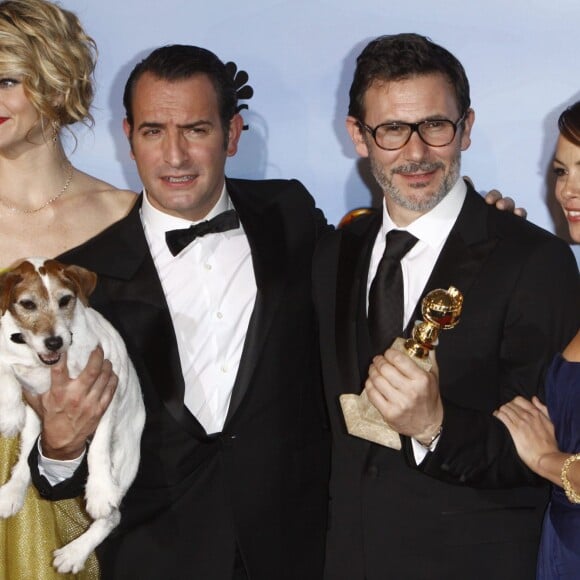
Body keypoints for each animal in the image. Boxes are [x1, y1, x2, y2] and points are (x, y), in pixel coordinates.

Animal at [0, 260, 146, 576]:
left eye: (66, 300)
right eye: (27, 304)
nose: (54, 342)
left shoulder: (106, 387)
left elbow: (98, 448)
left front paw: (99, 490)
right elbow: (7, 372)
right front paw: (9, 414)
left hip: (124, 460)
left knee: (113, 517)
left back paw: (75, 551)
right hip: (37, 426)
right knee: (26, 459)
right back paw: (12, 492)